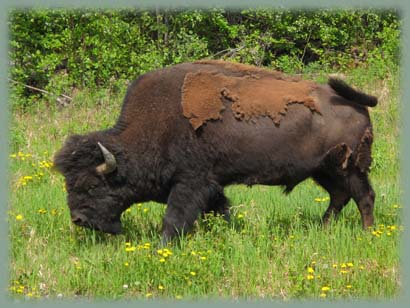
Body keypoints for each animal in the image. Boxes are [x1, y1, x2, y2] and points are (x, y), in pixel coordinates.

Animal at [54, 60, 378, 243]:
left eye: (92, 185)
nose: (78, 220)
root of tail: (355, 103)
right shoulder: (211, 185)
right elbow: (220, 210)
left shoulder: (190, 182)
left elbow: (174, 218)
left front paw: (163, 245)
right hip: (323, 171)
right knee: (339, 197)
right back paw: (324, 229)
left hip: (348, 168)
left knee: (363, 196)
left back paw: (367, 234)